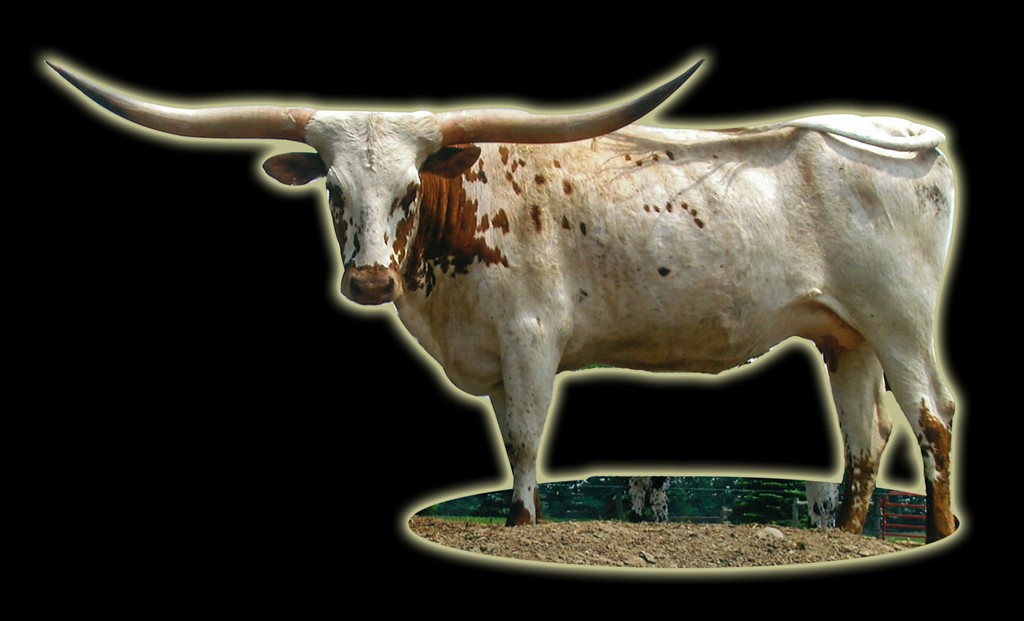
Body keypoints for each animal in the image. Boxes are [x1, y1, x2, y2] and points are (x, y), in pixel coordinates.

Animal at [48, 58, 959, 542]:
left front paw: (524, 528)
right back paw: (846, 537)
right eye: (334, 191)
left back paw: (937, 533)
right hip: (846, 334)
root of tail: (910, 139)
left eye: (410, 187)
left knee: (933, 418)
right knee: (866, 438)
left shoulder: (528, 339)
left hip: (900, 321)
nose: (370, 279)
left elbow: (523, 445)